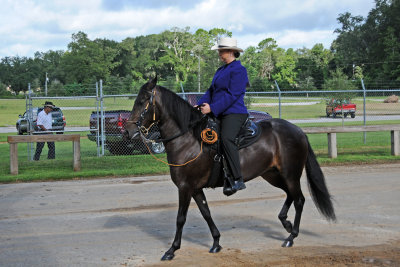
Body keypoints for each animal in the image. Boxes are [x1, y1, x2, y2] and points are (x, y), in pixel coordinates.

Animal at [124, 77, 334, 262]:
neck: (188, 140)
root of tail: (298, 131)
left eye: (142, 101)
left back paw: (291, 236)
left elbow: (180, 218)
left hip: (290, 175)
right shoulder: (195, 189)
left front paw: (171, 250)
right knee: (291, 195)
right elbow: (206, 213)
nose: (127, 131)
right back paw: (286, 224)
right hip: (273, 175)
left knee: (299, 199)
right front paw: (216, 242)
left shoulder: (185, 187)